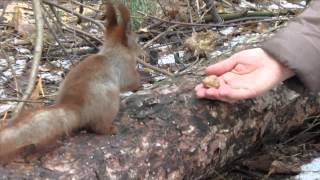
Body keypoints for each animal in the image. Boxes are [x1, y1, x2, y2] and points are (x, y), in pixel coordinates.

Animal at [0, 2, 141, 160]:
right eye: (137, 40)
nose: (143, 51)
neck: (113, 50)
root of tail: (76, 111)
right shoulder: (126, 67)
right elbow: (130, 81)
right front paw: (139, 83)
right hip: (109, 100)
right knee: (98, 127)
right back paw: (111, 129)